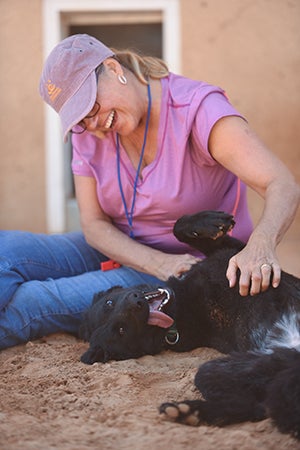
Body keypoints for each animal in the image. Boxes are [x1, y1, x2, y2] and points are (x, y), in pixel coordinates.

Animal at [79, 210, 300, 440]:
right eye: (121, 330)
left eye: (109, 303)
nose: (136, 302)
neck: (181, 304)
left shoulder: (240, 256)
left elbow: (178, 226)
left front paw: (213, 223)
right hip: (223, 368)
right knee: (256, 406)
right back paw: (188, 412)